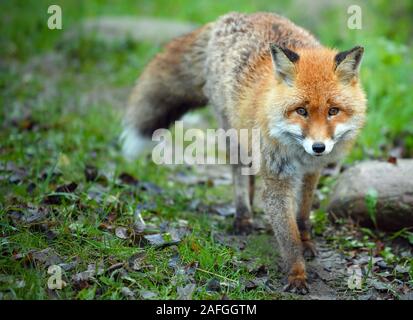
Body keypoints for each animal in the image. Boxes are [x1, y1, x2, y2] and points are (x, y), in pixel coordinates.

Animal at [120, 11, 366, 292]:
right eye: (301, 111)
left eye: (333, 111)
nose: (318, 147)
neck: (299, 155)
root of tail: (228, 17)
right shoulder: (277, 180)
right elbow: (288, 237)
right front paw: (297, 273)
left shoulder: (312, 171)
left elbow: (303, 215)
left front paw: (307, 242)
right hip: (232, 133)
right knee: (238, 175)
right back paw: (243, 216)